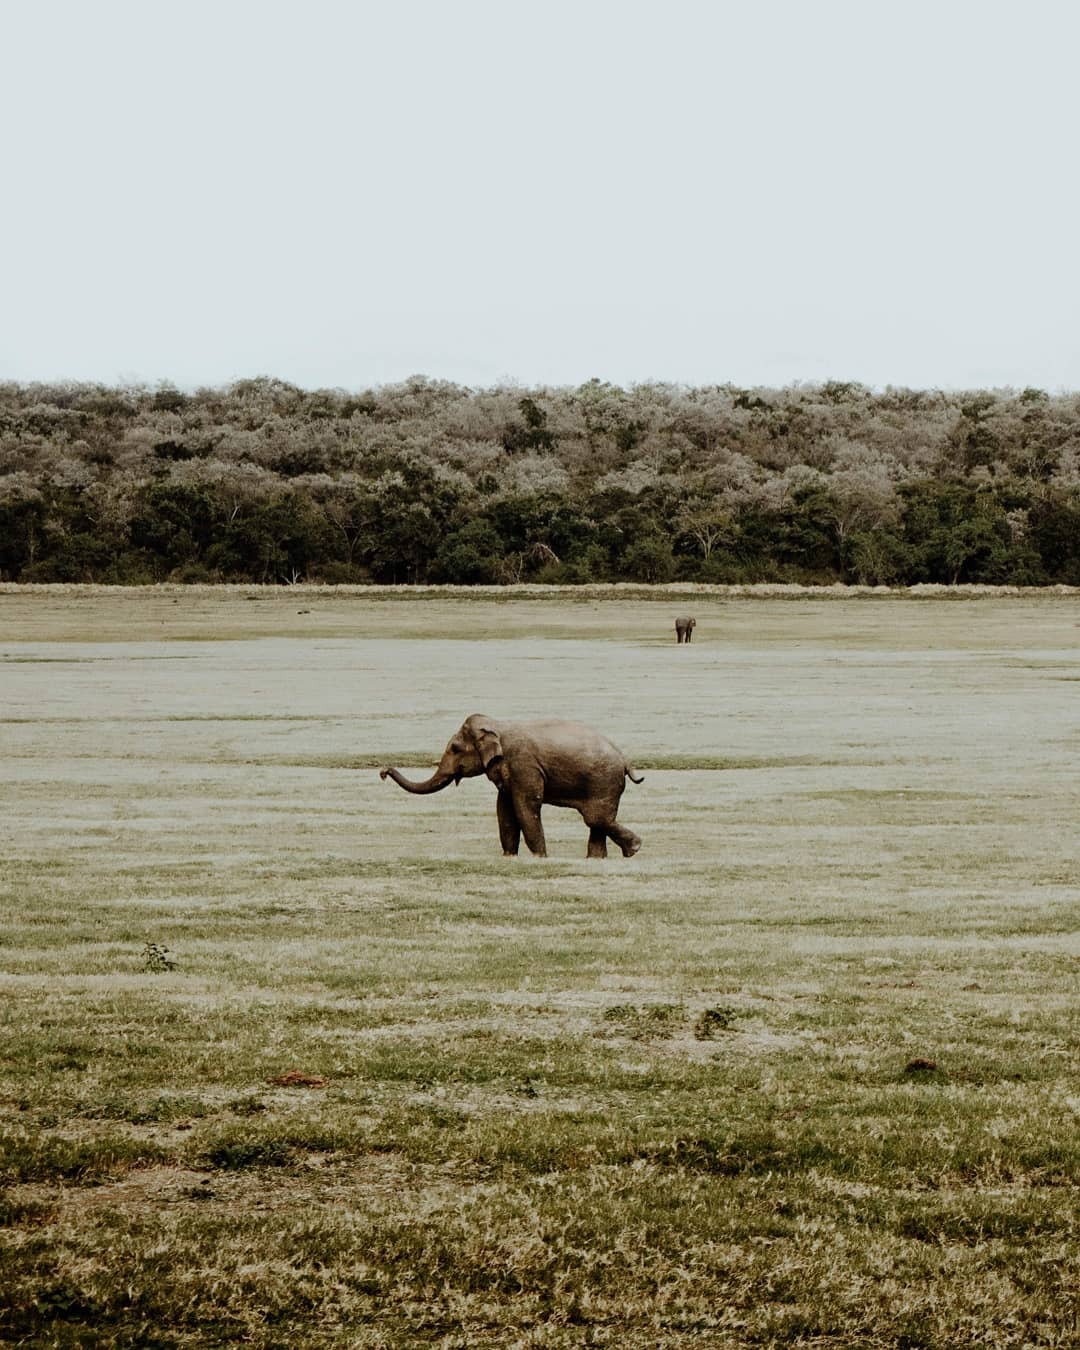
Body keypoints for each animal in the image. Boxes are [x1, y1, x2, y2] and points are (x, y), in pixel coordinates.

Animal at [380, 714, 643, 859]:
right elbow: (504, 810)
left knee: (595, 819)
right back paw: (597, 859)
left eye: (454, 748)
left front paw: (540, 857)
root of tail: (625, 760)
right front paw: (509, 857)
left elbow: (526, 806)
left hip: (603, 782)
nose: (383, 772)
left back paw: (634, 848)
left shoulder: (523, 765)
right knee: (596, 822)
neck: (497, 726)